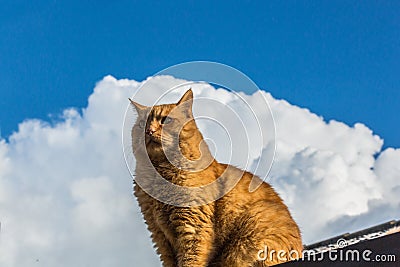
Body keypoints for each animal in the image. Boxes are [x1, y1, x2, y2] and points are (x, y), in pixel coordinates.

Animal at [130, 89, 302, 266]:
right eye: (142, 124)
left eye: (166, 120)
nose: (149, 131)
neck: (158, 175)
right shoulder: (160, 236)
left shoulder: (193, 228)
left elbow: (190, 260)